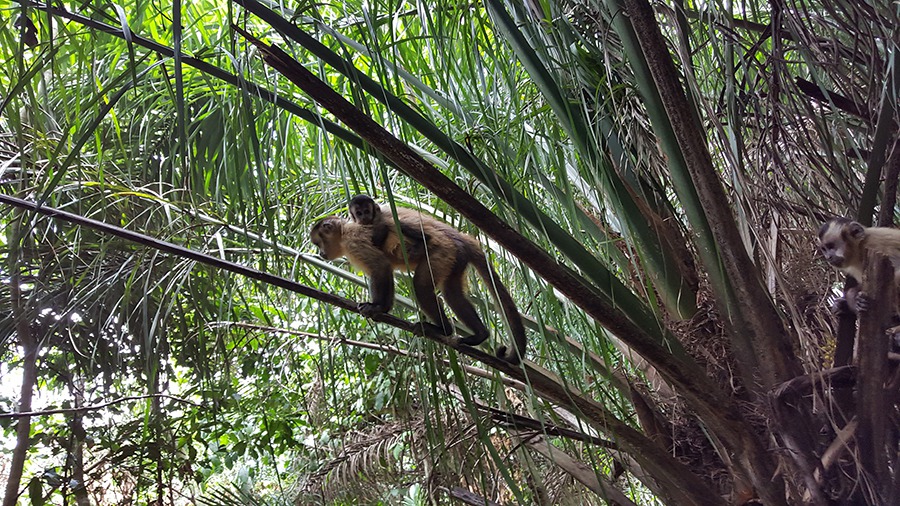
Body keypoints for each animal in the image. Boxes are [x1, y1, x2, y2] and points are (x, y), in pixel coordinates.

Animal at [310, 194, 528, 364]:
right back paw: (480, 335)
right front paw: (383, 309)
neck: (345, 231)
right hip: (456, 258)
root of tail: (460, 239)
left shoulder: (353, 241)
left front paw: (377, 307)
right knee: (451, 293)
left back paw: (444, 330)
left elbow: (381, 266)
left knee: (421, 286)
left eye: (318, 243)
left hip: (443, 252)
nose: (320, 253)